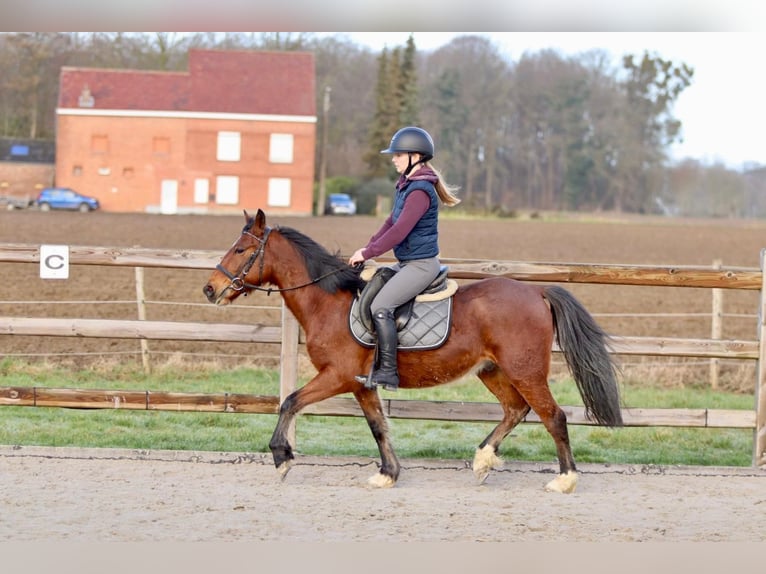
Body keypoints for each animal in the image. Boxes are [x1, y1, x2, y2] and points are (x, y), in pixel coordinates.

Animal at [202, 209, 623, 493]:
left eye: (241, 249)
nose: (210, 289)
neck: (329, 302)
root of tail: (536, 291)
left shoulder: (337, 376)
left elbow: (289, 401)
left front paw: (281, 457)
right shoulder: (361, 384)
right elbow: (377, 426)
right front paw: (387, 474)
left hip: (525, 370)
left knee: (553, 416)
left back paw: (564, 480)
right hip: (494, 371)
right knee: (516, 410)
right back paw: (483, 460)